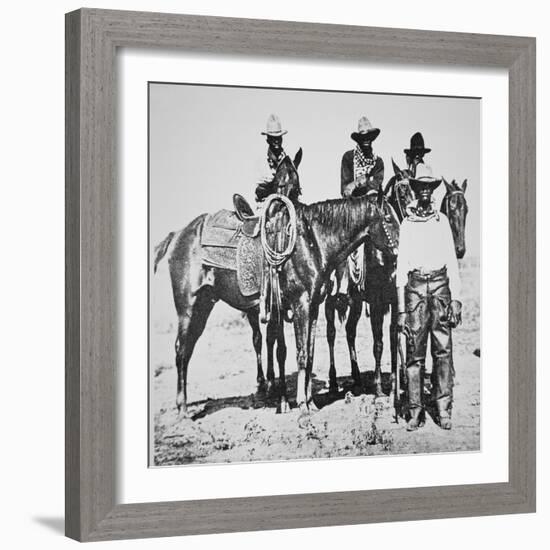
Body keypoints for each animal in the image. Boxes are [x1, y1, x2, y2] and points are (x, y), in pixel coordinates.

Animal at [153, 190, 398, 418]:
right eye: (387, 217)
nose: (394, 256)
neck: (312, 241)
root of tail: (178, 235)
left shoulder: (313, 307)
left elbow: (309, 353)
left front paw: (311, 402)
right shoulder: (301, 305)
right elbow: (300, 354)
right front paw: (302, 405)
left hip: (204, 305)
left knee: (187, 350)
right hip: (188, 308)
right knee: (181, 350)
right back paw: (182, 409)